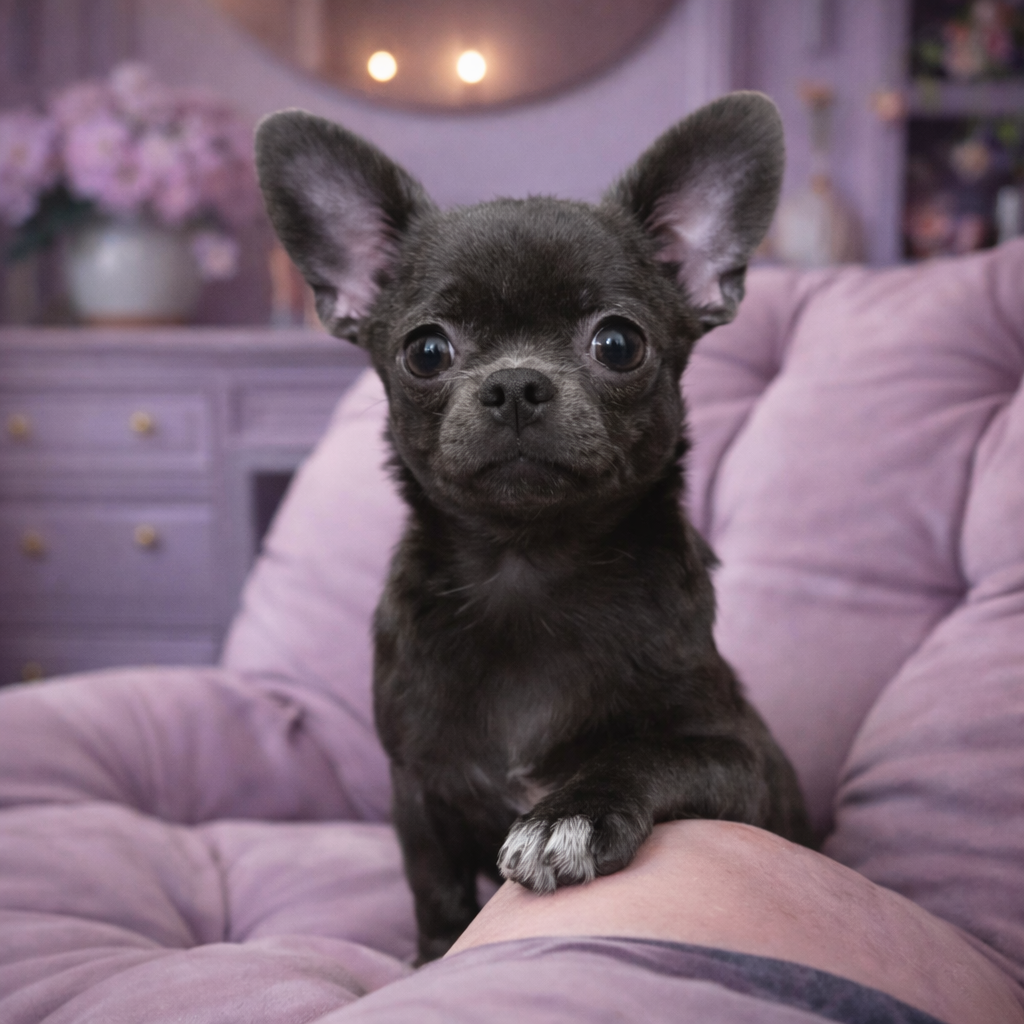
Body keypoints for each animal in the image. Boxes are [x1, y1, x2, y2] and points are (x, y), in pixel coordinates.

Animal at [255, 92, 812, 964]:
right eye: (425, 351)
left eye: (618, 343)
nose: (516, 383)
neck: (528, 565)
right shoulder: (417, 793)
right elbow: (436, 894)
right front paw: (430, 961)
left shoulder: (738, 760)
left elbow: (644, 752)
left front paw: (568, 816)